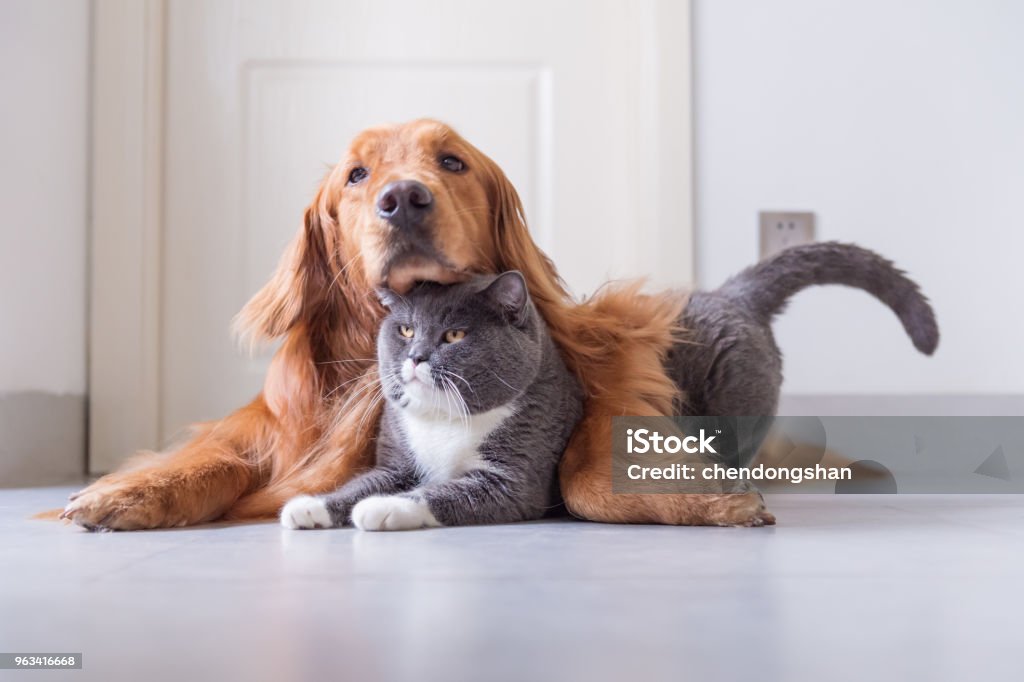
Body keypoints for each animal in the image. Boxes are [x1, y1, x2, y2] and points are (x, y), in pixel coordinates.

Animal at [280, 268, 585, 528]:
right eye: (407, 330)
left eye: (454, 334)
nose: (416, 356)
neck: (443, 417)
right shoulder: (396, 463)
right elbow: (362, 483)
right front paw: (310, 507)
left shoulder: (513, 479)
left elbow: (441, 491)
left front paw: (381, 507)